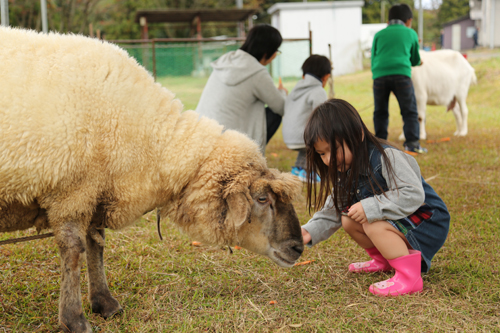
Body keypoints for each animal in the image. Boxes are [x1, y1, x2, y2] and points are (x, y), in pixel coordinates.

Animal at [0, 26, 304, 332]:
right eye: (262, 198)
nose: (298, 247)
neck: (150, 138)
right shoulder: (72, 191)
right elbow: (74, 250)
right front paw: (75, 319)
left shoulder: (95, 190)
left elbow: (96, 244)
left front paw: (104, 302)